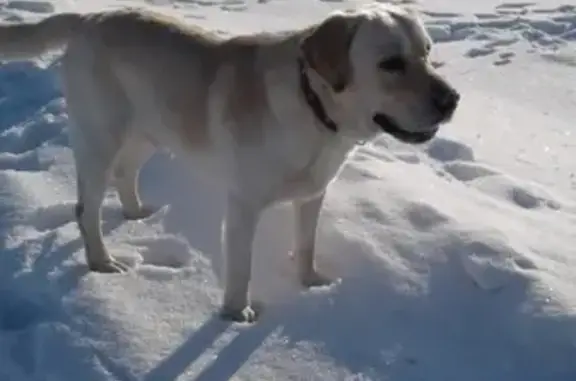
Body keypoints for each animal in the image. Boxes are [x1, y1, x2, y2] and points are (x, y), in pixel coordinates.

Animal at [0, 2, 460, 320]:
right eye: (391, 64)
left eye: (427, 52)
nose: (453, 99)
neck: (313, 109)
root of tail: (88, 19)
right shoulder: (243, 206)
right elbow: (240, 269)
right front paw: (237, 316)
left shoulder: (312, 194)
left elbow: (306, 244)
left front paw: (310, 283)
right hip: (100, 139)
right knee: (86, 208)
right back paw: (102, 262)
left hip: (150, 129)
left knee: (126, 172)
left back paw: (137, 213)